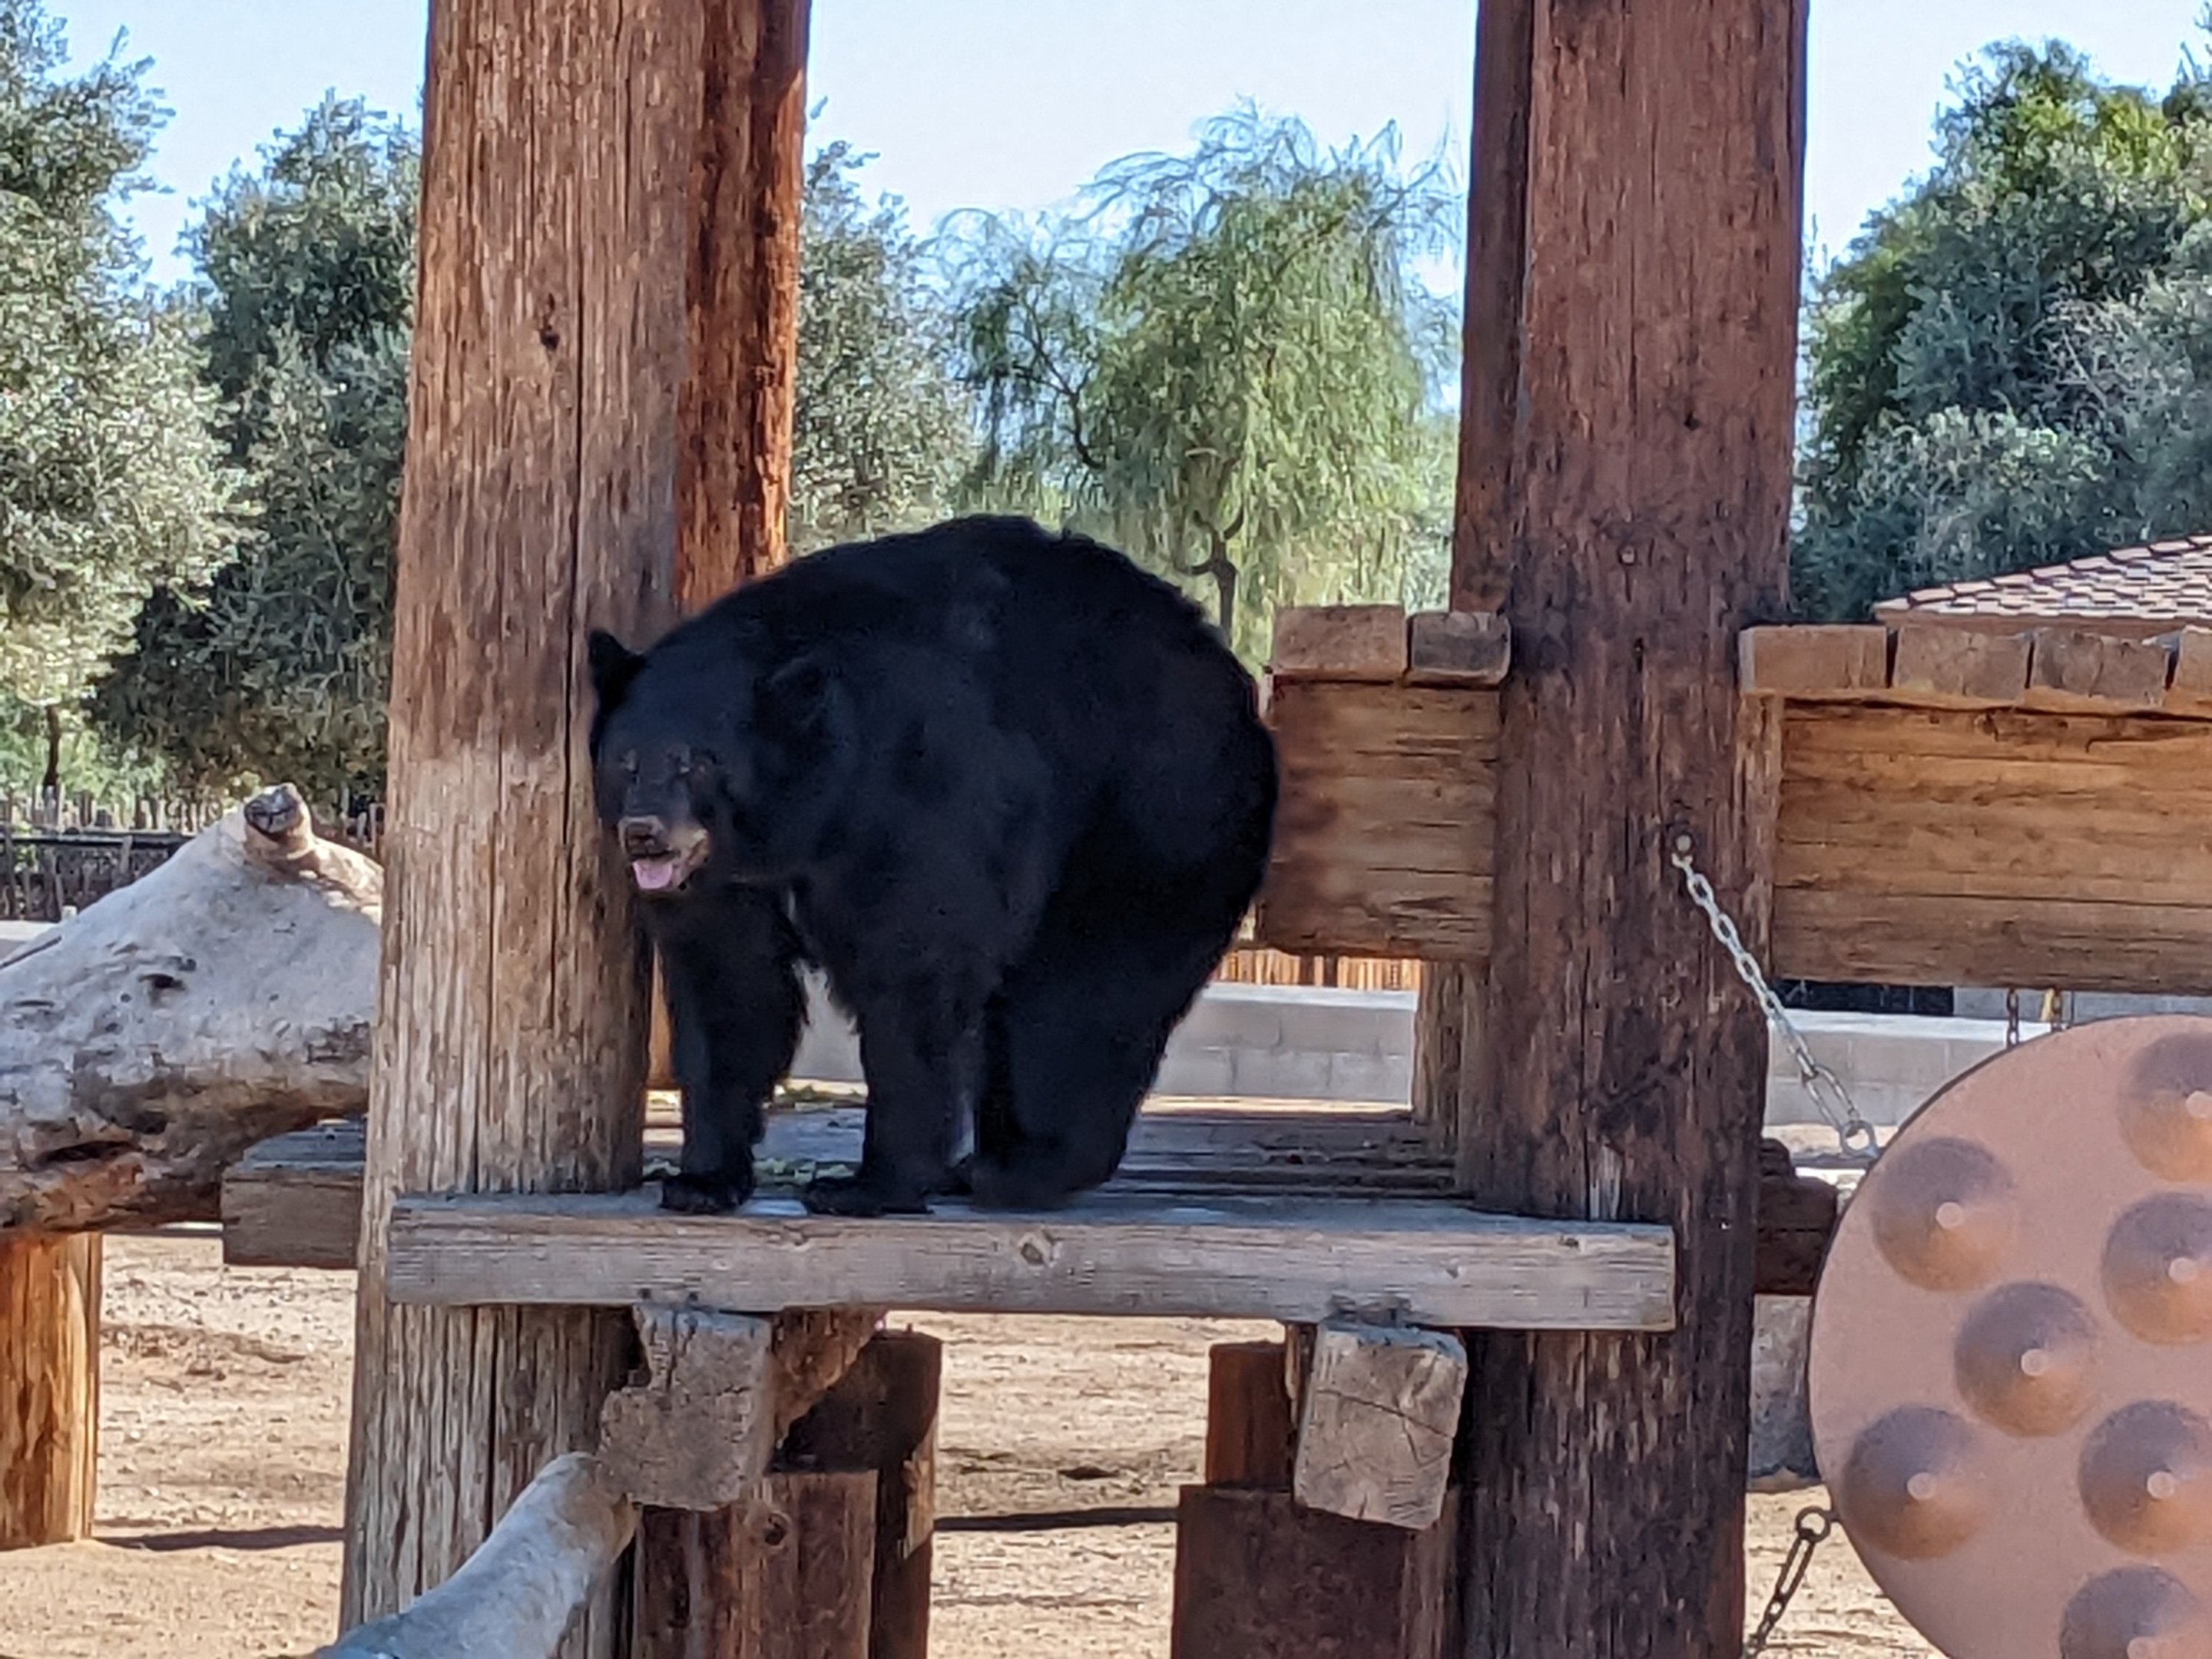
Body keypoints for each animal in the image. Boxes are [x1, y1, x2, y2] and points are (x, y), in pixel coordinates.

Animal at [586, 513, 1279, 1218]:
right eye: (626, 761)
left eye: (697, 763)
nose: (644, 835)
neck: (801, 815)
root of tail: (1228, 673)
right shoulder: (727, 884)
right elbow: (728, 987)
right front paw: (701, 1178)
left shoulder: (914, 804)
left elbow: (910, 979)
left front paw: (867, 1185)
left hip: (1148, 818)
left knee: (1080, 996)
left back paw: (1024, 1167)